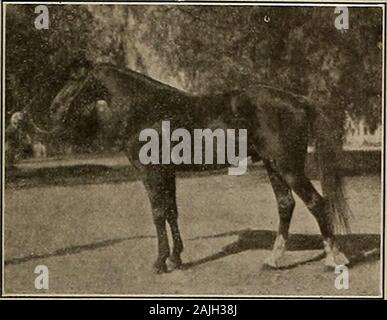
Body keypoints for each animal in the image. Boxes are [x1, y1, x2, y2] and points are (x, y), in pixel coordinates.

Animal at [44, 60, 352, 272]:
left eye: (75, 80)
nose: (54, 110)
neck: (148, 109)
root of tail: (299, 100)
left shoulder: (151, 173)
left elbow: (158, 213)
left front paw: (160, 262)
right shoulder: (167, 173)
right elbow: (171, 212)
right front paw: (176, 258)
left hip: (288, 167)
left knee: (316, 202)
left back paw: (334, 259)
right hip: (273, 166)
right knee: (286, 205)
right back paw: (273, 260)